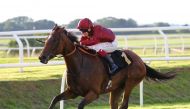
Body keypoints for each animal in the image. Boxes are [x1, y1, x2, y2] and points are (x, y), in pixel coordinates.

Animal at [39, 24, 177, 109]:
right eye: (46, 40)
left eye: (54, 40)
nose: (41, 57)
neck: (80, 66)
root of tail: (140, 60)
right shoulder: (72, 92)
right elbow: (55, 99)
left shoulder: (94, 93)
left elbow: (80, 105)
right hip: (117, 88)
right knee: (114, 105)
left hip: (131, 82)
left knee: (124, 104)